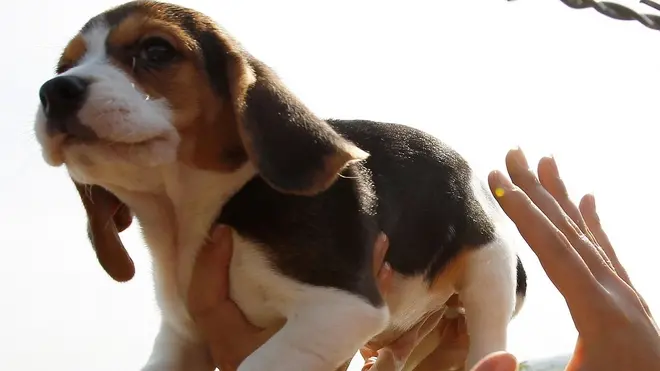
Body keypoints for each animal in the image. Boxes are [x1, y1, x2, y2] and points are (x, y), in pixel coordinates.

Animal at [33, 1, 528, 370]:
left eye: (156, 50)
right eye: (64, 65)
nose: (54, 91)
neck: (189, 210)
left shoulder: (342, 308)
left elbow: (259, 363)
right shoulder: (183, 334)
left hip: (489, 268)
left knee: (489, 330)